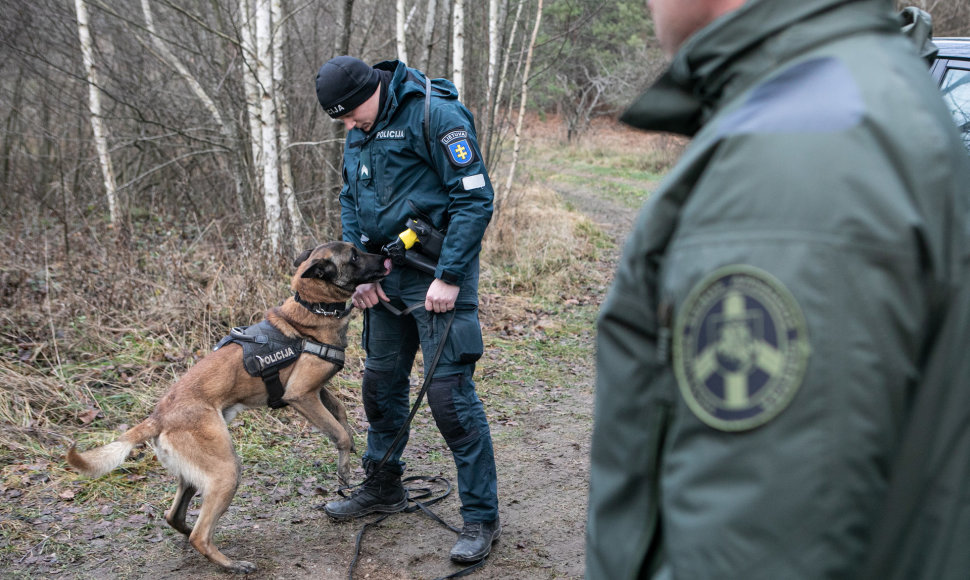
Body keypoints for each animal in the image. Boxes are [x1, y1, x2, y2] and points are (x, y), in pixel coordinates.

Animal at [65, 240, 390, 572]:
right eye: (354, 255)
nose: (387, 256)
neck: (312, 309)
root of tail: (158, 417)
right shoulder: (301, 394)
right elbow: (339, 433)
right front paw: (344, 469)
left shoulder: (317, 390)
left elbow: (339, 412)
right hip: (226, 470)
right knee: (200, 534)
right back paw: (231, 563)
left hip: (198, 475)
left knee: (175, 517)